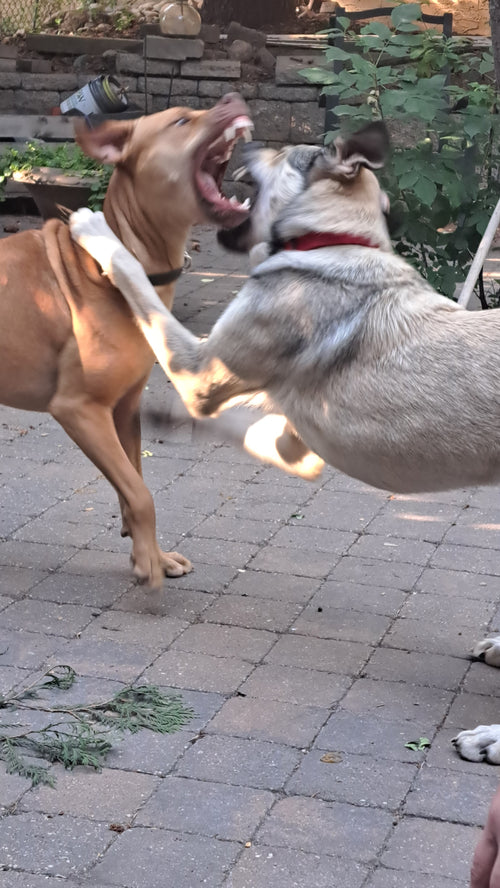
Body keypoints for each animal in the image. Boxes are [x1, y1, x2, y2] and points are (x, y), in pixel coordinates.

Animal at [0, 92, 253, 597]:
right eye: (181, 121)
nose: (233, 98)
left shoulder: (125, 407)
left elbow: (132, 481)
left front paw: (150, 555)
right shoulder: (80, 409)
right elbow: (140, 494)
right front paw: (147, 565)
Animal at [70, 120, 500, 758]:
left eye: (282, 151)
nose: (244, 136)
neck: (332, 242)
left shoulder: (197, 367)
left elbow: (136, 280)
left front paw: (94, 229)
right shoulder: (286, 432)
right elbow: (261, 434)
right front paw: (170, 426)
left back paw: (489, 739)